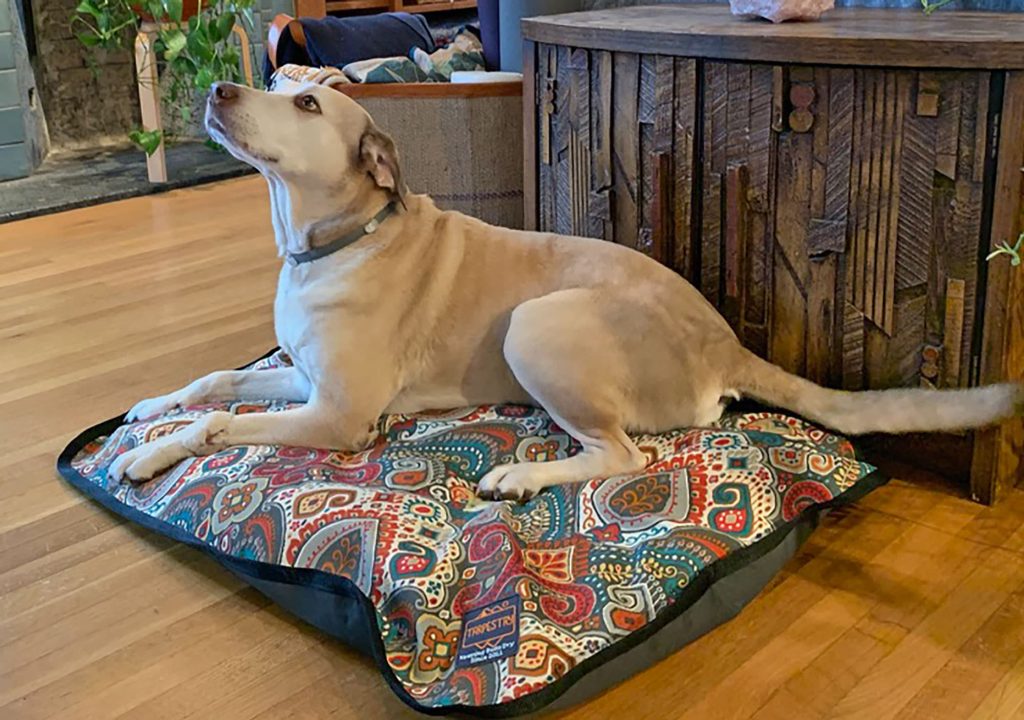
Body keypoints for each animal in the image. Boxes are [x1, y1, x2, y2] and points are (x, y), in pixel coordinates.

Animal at [108, 77, 1019, 495]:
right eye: (278, 84)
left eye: (304, 103)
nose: (221, 87)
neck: (332, 243)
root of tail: (725, 342)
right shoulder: (299, 375)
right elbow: (214, 382)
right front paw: (149, 412)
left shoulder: (337, 414)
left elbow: (225, 424)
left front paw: (152, 454)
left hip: (537, 324)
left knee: (620, 454)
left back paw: (521, 478)